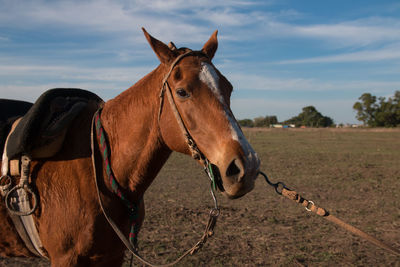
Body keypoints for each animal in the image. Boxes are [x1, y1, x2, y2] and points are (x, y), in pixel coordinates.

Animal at [0, 28, 260, 266]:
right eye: (182, 91)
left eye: (228, 88)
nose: (247, 167)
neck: (99, 171)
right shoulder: (66, 258)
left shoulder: (112, 255)